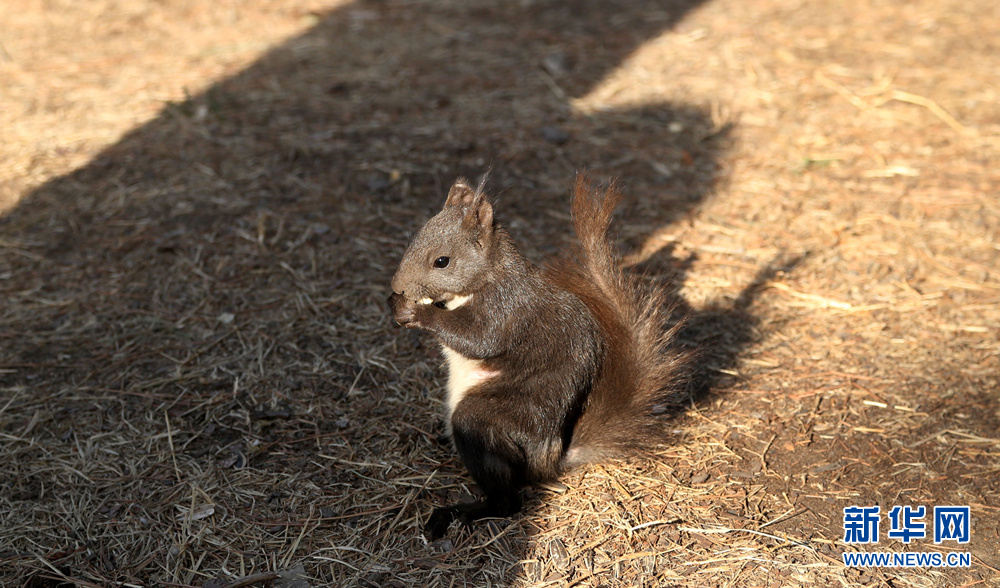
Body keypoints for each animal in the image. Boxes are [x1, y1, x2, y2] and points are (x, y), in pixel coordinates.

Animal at [388, 175, 688, 536]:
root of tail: (550, 460)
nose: (397, 287)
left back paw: (459, 512)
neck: (489, 275)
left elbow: (478, 339)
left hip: (494, 420)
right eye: (413, 241)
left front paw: (414, 312)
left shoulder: (506, 308)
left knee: (506, 500)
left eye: (441, 261)